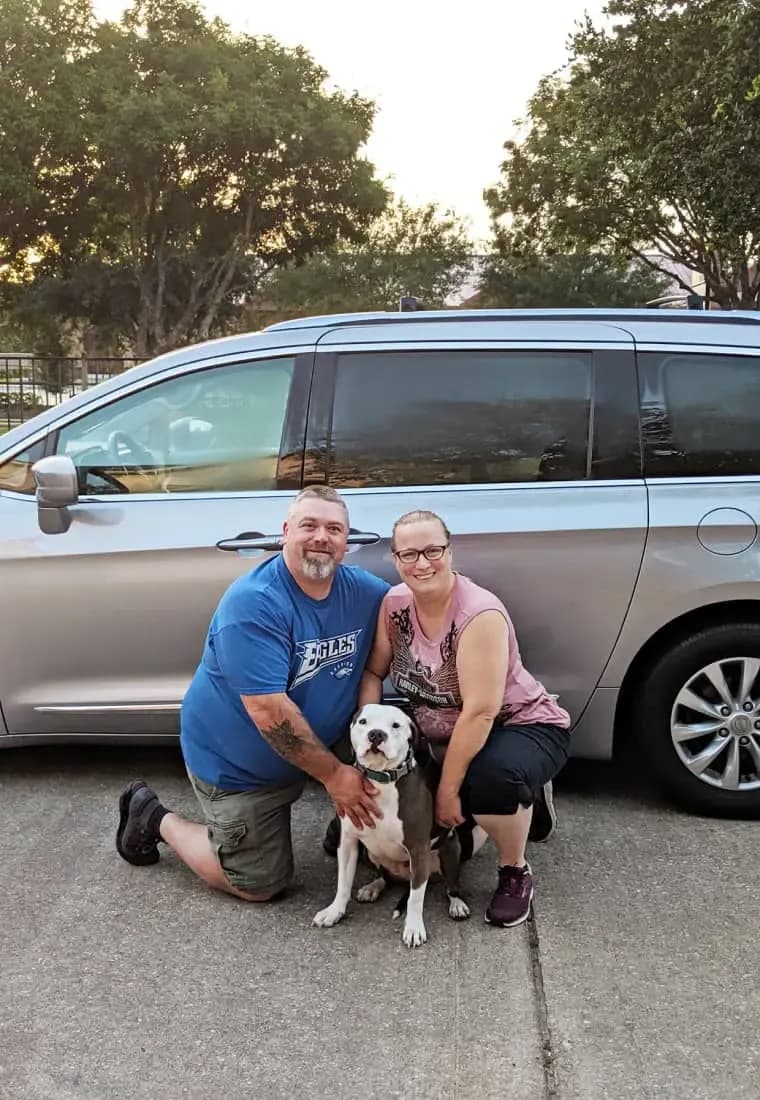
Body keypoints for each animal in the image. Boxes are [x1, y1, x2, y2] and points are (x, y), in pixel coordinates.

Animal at [314, 704, 488, 946]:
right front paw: (334, 911)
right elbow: (343, 882)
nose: (376, 734)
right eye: (363, 722)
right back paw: (372, 888)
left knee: (450, 885)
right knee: (385, 877)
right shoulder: (348, 841)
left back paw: (457, 904)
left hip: (449, 850)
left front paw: (414, 928)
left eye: (396, 725)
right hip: (370, 853)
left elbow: (415, 898)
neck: (381, 780)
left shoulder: (418, 848)